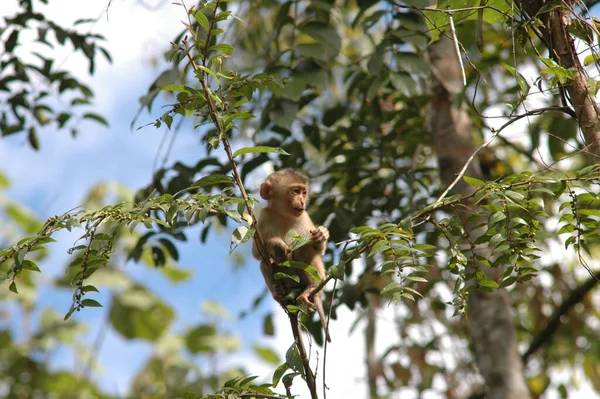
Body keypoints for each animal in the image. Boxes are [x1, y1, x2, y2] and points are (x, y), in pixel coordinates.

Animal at [250, 169, 330, 344]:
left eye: (304, 192)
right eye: (295, 191)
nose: (302, 201)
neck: (283, 215)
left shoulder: (304, 217)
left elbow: (317, 249)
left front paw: (322, 234)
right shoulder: (263, 217)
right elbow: (257, 253)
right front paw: (276, 244)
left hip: (315, 279)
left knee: (303, 250)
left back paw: (310, 288)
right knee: (265, 264)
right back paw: (279, 293)